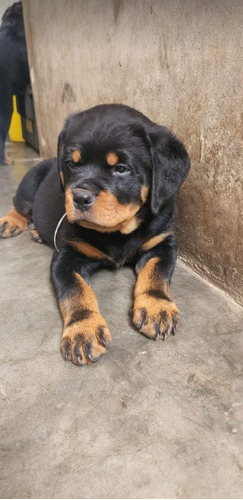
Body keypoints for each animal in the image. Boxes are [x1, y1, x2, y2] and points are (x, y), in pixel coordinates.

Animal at [0, 103, 190, 366]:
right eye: (71, 163)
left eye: (121, 169)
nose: (79, 197)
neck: (118, 232)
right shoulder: (67, 257)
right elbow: (75, 291)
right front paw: (83, 330)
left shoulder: (163, 242)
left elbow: (156, 272)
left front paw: (156, 306)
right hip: (30, 182)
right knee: (19, 204)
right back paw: (10, 222)